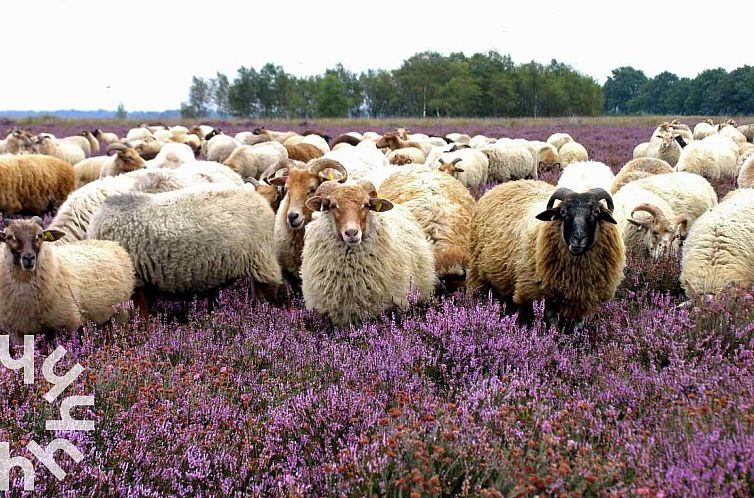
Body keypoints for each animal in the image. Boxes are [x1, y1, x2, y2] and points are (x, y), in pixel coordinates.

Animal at [0, 218, 134, 346]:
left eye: (40, 235)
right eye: (9, 237)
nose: (28, 258)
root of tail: (111, 243)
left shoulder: (68, 324)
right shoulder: (19, 332)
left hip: (119, 314)